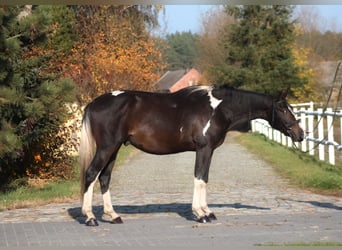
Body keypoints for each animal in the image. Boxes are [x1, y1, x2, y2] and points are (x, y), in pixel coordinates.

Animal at [79, 84, 304, 227]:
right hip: (107, 147)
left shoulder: (208, 150)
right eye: (283, 109)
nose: (300, 134)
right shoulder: (204, 148)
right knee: (91, 174)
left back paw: (113, 216)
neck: (218, 108)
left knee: (104, 177)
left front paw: (207, 212)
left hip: (114, 149)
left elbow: (204, 179)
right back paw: (90, 218)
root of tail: (93, 104)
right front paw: (201, 213)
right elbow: (200, 179)